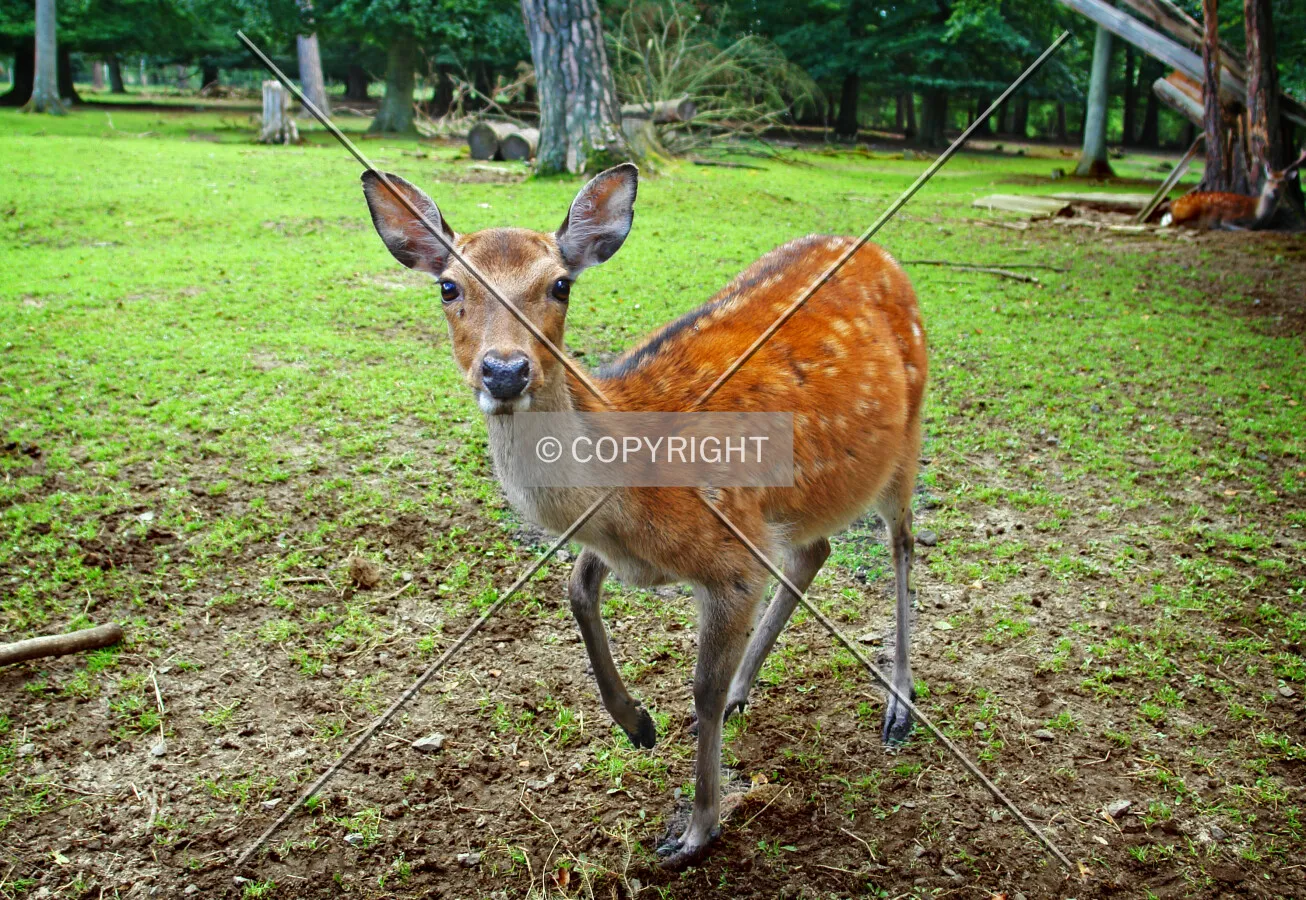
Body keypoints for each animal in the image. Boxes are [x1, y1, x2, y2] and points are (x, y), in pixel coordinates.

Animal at [361, 163, 928, 869]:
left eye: (560, 285)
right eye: (448, 286)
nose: (505, 370)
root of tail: (882, 254)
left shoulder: (732, 556)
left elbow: (700, 686)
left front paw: (696, 830)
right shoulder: (629, 548)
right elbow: (576, 588)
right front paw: (637, 723)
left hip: (908, 436)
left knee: (902, 543)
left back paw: (898, 704)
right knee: (813, 551)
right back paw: (745, 689)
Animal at [1162, 150, 1306, 229]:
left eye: (1283, 182)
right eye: (1269, 180)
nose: (1274, 191)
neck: (1257, 214)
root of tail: (1173, 203)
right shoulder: (1231, 217)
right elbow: (1245, 228)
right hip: (1191, 208)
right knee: (1177, 222)